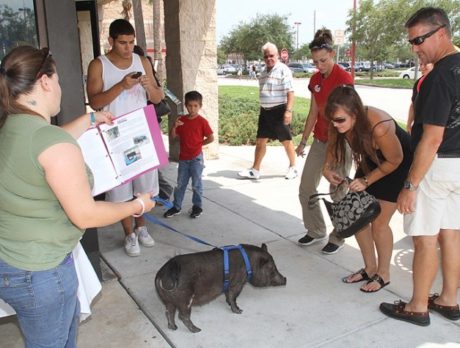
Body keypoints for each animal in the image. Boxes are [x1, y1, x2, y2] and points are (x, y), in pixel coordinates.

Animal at [156, 243, 286, 334]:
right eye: (272, 269)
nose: (285, 279)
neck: (249, 264)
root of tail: (164, 273)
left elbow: (228, 296)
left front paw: (230, 305)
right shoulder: (237, 283)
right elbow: (233, 297)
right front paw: (239, 311)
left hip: (168, 300)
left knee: (169, 312)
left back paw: (173, 328)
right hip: (185, 299)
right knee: (182, 316)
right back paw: (197, 330)